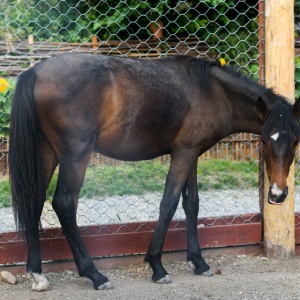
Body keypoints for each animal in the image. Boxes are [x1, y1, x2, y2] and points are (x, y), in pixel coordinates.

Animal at [8, 54, 300, 290]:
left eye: (295, 140)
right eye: (265, 140)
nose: (277, 194)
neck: (212, 92)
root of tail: (36, 71)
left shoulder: (191, 154)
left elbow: (191, 204)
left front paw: (199, 262)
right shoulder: (183, 154)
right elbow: (168, 205)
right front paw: (157, 266)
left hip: (47, 152)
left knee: (33, 201)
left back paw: (38, 274)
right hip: (74, 156)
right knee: (64, 204)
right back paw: (95, 275)